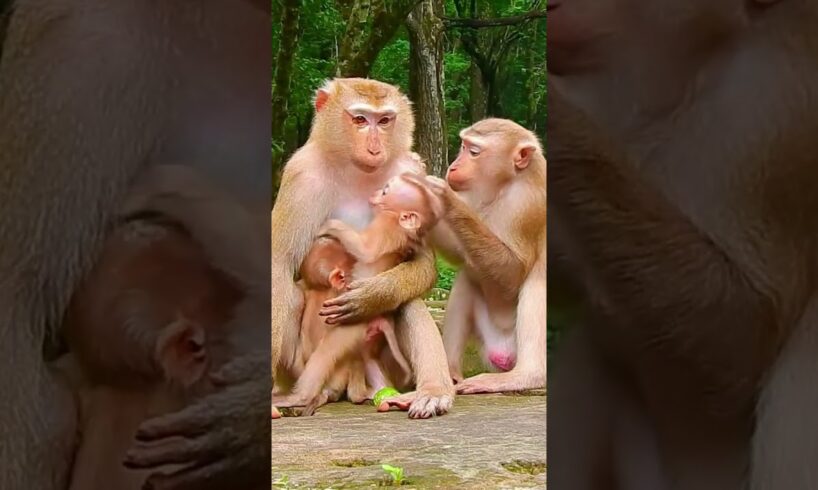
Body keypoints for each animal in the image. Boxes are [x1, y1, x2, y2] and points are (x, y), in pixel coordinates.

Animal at [423, 119, 547, 394]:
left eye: (474, 152)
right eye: (463, 145)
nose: (453, 166)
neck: (506, 185)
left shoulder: (528, 206)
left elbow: (513, 275)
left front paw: (444, 197)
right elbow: (462, 254)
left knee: (537, 280)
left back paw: (528, 376)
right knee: (469, 276)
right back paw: (449, 372)